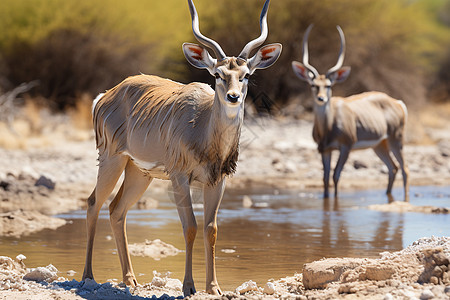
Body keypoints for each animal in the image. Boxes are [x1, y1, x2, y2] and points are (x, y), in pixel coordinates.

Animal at [79, 0, 280, 296]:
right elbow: (190, 227)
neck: (203, 126)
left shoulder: (217, 181)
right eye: (218, 74)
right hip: (111, 160)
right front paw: (189, 286)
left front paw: (214, 287)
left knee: (116, 210)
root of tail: (105, 97)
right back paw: (88, 276)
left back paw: (130, 279)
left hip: (139, 174)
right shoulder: (180, 178)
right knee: (94, 203)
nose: (233, 97)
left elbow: (211, 229)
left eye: (245, 75)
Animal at [290, 25, 410, 199]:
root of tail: (398, 103)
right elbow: (325, 178)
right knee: (393, 168)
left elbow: (336, 175)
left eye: (328, 85)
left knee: (405, 169)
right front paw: (326, 199)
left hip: (396, 140)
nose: (321, 98)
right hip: (379, 145)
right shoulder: (324, 150)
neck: (329, 125)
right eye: (313, 85)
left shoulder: (346, 147)